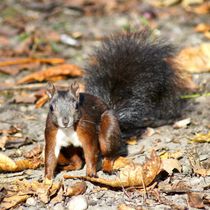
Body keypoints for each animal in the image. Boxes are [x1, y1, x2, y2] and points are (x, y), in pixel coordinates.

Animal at [44, 30, 185, 179]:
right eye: (51, 108)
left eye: (76, 106)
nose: (65, 121)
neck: (67, 129)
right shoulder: (52, 134)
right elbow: (50, 156)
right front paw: (47, 178)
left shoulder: (87, 132)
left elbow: (91, 152)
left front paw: (91, 173)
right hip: (69, 149)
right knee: (77, 161)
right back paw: (69, 167)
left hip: (108, 129)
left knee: (109, 154)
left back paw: (107, 167)